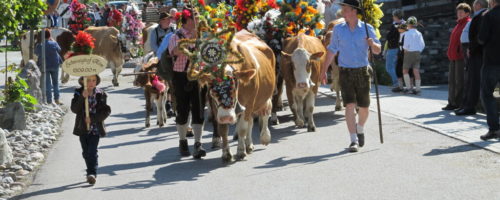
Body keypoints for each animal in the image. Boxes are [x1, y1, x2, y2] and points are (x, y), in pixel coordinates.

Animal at [192, 30, 278, 162]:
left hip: (266, 96)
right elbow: (223, 130)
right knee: (251, 122)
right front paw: (226, 154)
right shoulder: (217, 108)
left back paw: (264, 137)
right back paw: (249, 145)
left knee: (265, 112)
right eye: (212, 91)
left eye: (233, 88)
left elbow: (242, 128)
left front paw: (241, 151)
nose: (226, 117)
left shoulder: (249, 103)